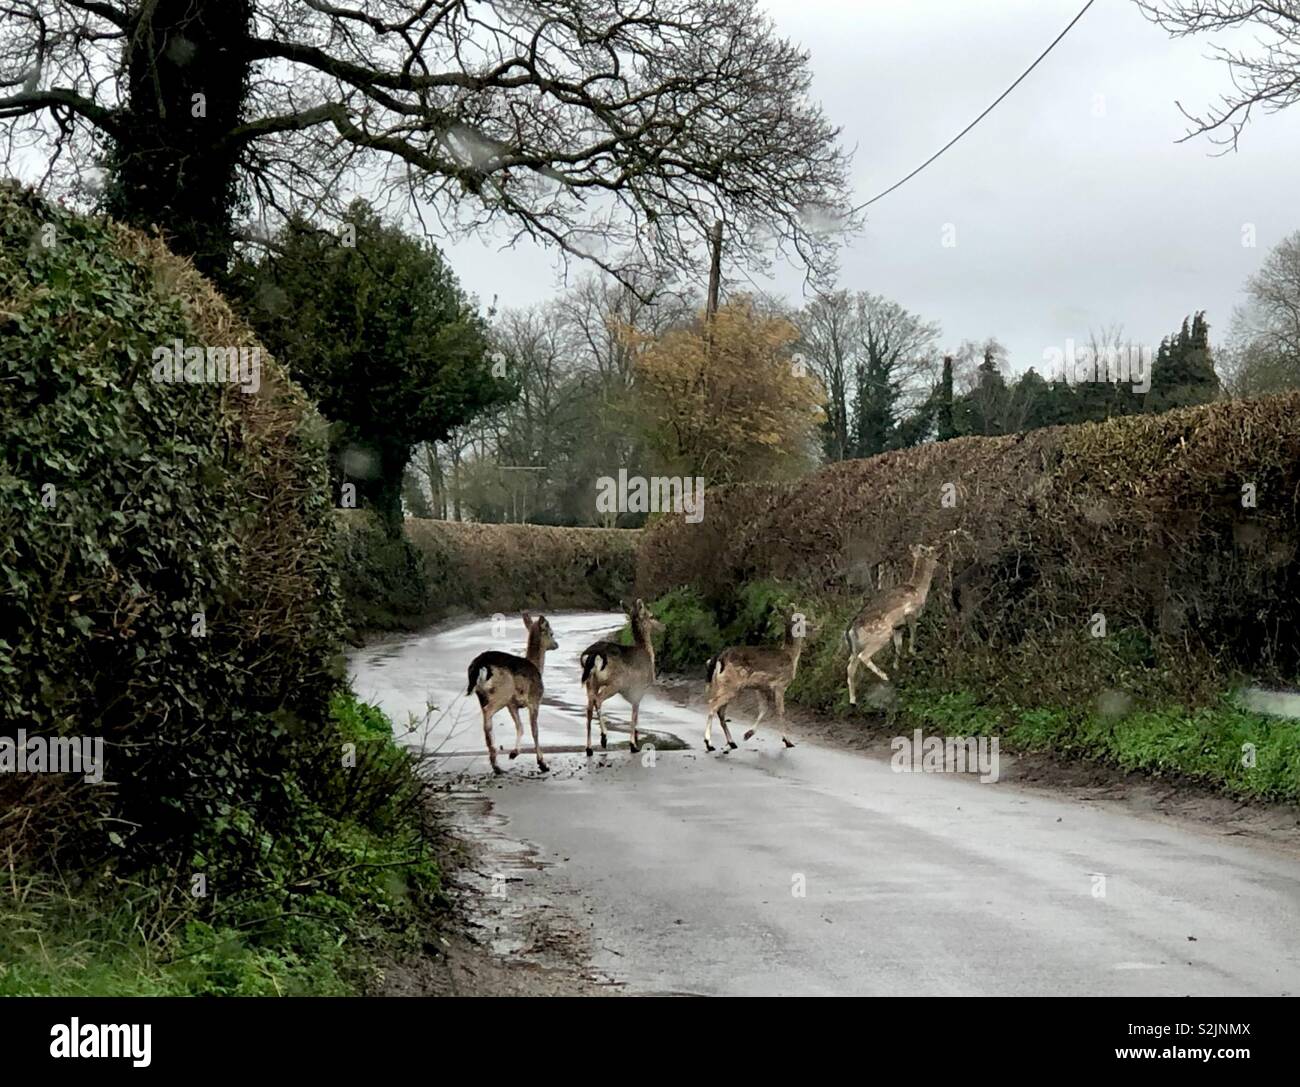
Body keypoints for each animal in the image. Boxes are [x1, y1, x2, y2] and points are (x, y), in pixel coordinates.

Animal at [465, 612, 558, 775]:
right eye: (551, 633)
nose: (556, 644)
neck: (537, 668)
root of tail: (480, 665)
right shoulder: (535, 699)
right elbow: (535, 730)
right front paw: (542, 763)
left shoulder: (512, 704)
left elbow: (520, 726)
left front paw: (514, 753)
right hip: (503, 692)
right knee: (488, 713)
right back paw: (496, 763)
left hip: (482, 695)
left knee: (486, 720)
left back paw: (496, 764)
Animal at [579, 598, 664, 756]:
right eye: (651, 616)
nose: (663, 626)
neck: (647, 652)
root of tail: (593, 655)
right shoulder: (639, 688)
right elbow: (634, 715)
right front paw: (633, 745)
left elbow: (636, 714)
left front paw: (635, 740)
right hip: (614, 682)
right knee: (598, 700)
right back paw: (604, 737)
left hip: (590, 682)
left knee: (588, 708)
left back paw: (589, 748)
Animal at [703, 610, 810, 752]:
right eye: (801, 618)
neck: (791, 656)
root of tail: (718, 658)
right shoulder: (780, 684)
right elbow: (780, 711)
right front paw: (788, 741)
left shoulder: (760, 687)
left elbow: (764, 709)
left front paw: (748, 734)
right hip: (730, 685)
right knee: (713, 704)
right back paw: (709, 743)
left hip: (722, 685)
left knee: (720, 711)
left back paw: (732, 743)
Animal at [844, 542, 940, 704]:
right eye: (930, 550)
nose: (939, 554)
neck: (918, 590)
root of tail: (851, 631)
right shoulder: (910, 613)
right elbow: (913, 632)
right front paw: (913, 652)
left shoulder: (898, 626)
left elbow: (898, 646)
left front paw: (896, 665)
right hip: (880, 635)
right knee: (864, 656)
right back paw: (884, 676)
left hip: (856, 647)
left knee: (850, 667)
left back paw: (853, 700)